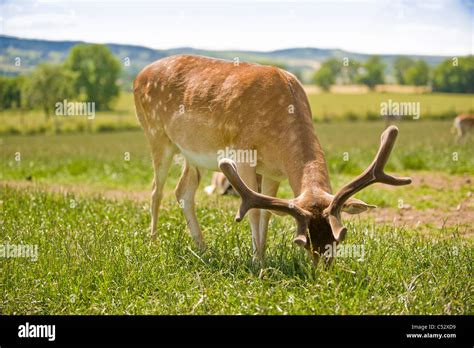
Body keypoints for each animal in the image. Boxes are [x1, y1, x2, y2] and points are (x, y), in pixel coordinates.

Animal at [134, 55, 412, 264]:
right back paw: (154, 244)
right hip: (156, 134)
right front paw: (257, 263)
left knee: (183, 191)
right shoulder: (244, 155)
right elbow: (254, 211)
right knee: (156, 190)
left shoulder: (273, 171)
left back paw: (204, 249)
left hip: (191, 155)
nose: (324, 270)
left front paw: (262, 255)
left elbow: (267, 212)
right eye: (303, 241)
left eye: (340, 235)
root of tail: (138, 77)